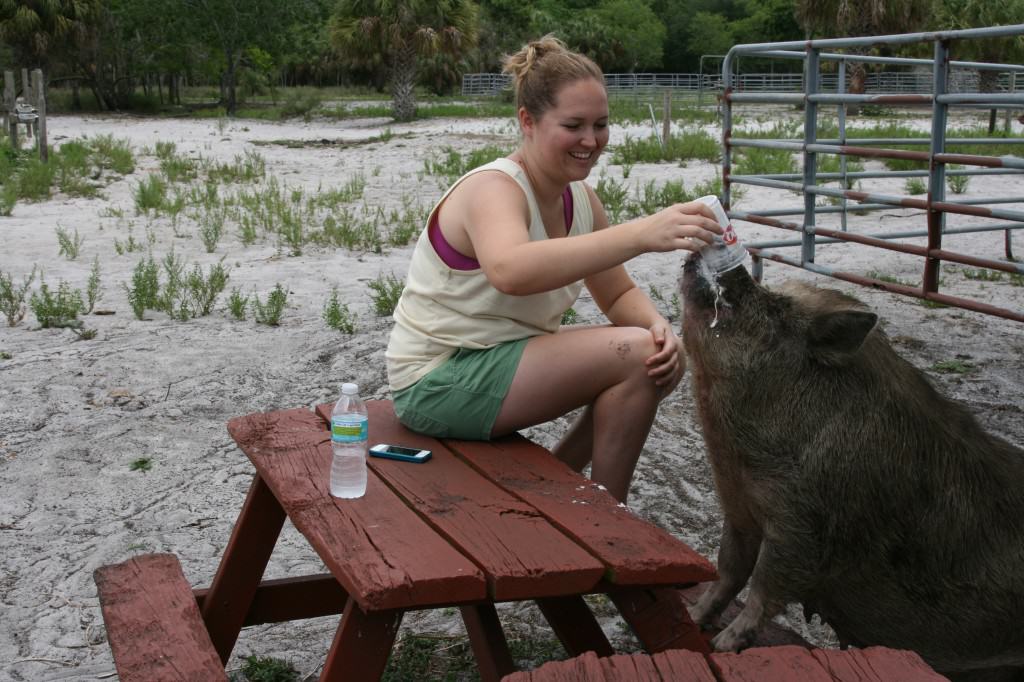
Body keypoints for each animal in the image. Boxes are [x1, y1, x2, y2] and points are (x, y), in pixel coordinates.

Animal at [679, 254, 1024, 679]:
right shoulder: (739, 511)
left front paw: (724, 645)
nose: (733, 267)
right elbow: (728, 568)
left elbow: (766, 583)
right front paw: (696, 616)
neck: (737, 461)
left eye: (777, 310)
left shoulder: (805, 529)